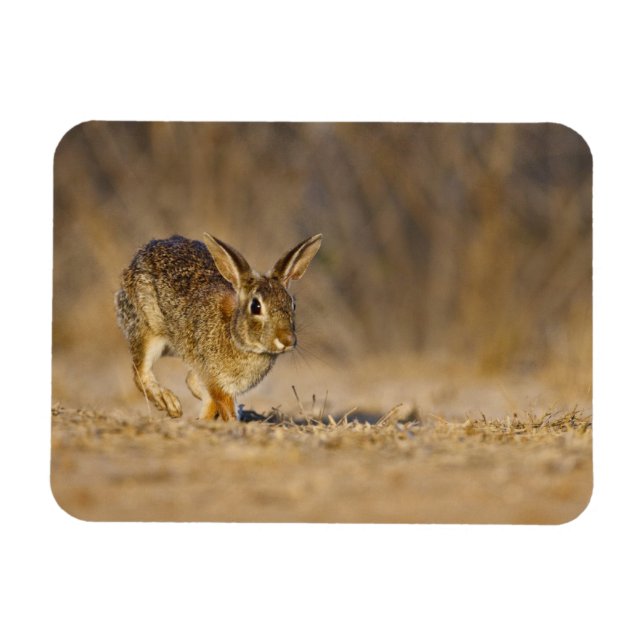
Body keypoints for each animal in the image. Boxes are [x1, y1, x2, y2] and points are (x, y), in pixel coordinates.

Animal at [115, 232, 322, 421]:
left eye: (293, 304)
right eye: (256, 306)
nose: (287, 340)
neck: (235, 335)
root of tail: (140, 255)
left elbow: (209, 401)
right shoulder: (216, 380)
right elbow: (223, 406)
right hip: (147, 329)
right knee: (140, 372)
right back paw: (170, 403)